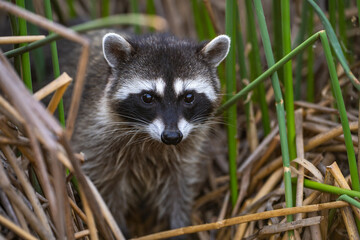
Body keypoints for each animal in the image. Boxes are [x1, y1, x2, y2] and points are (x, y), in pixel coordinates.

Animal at [66, 31, 231, 237]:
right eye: (147, 97)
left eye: (189, 97)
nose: (172, 137)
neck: (149, 138)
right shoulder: (94, 141)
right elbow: (105, 193)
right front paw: (117, 228)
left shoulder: (185, 154)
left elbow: (179, 189)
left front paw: (179, 227)